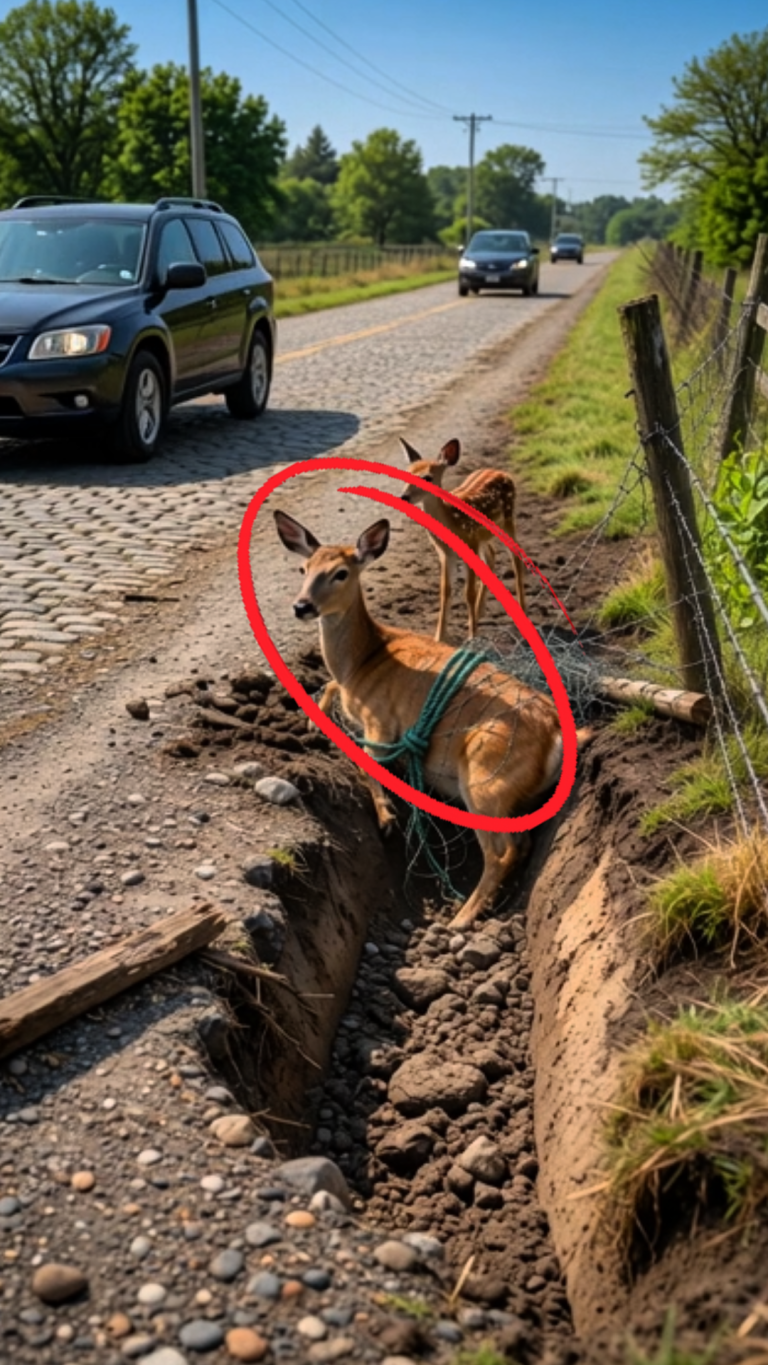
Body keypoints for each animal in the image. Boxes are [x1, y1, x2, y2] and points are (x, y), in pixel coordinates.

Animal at [274, 508, 590, 931]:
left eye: (340, 573)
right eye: (303, 568)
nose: (301, 606)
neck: (364, 660)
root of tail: (556, 733)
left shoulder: (381, 723)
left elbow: (364, 766)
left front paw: (387, 817)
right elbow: (327, 687)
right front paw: (312, 720)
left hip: (485, 777)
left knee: (503, 851)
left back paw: (461, 917)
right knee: (523, 843)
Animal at [397, 436, 525, 644]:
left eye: (428, 477)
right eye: (407, 474)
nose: (404, 497)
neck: (452, 519)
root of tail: (502, 472)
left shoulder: (469, 544)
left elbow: (468, 593)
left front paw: (472, 637)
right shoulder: (445, 553)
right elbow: (445, 592)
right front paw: (439, 637)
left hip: (507, 518)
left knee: (516, 554)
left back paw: (522, 611)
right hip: (483, 536)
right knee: (491, 555)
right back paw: (479, 614)